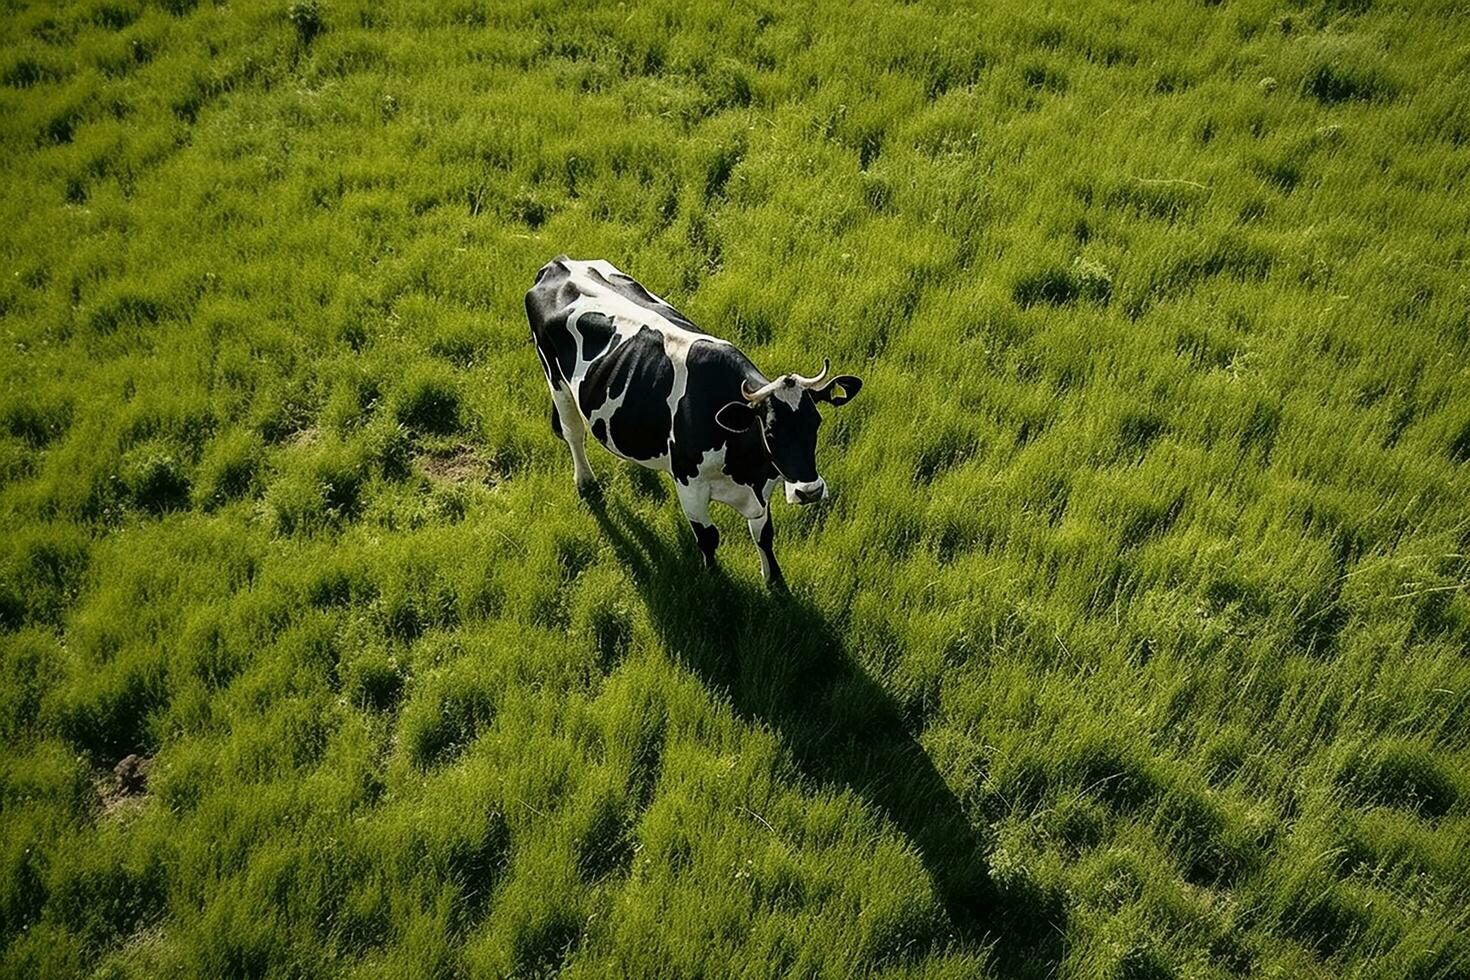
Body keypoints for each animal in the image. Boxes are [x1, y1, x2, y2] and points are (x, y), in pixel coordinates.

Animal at [529, 255, 858, 590]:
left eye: (816, 422)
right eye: (769, 431)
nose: (810, 491)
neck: (746, 469)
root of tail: (560, 263)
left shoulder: (762, 487)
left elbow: (765, 536)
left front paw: (774, 579)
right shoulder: (689, 484)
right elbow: (708, 537)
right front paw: (714, 581)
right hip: (555, 379)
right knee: (573, 433)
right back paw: (586, 482)